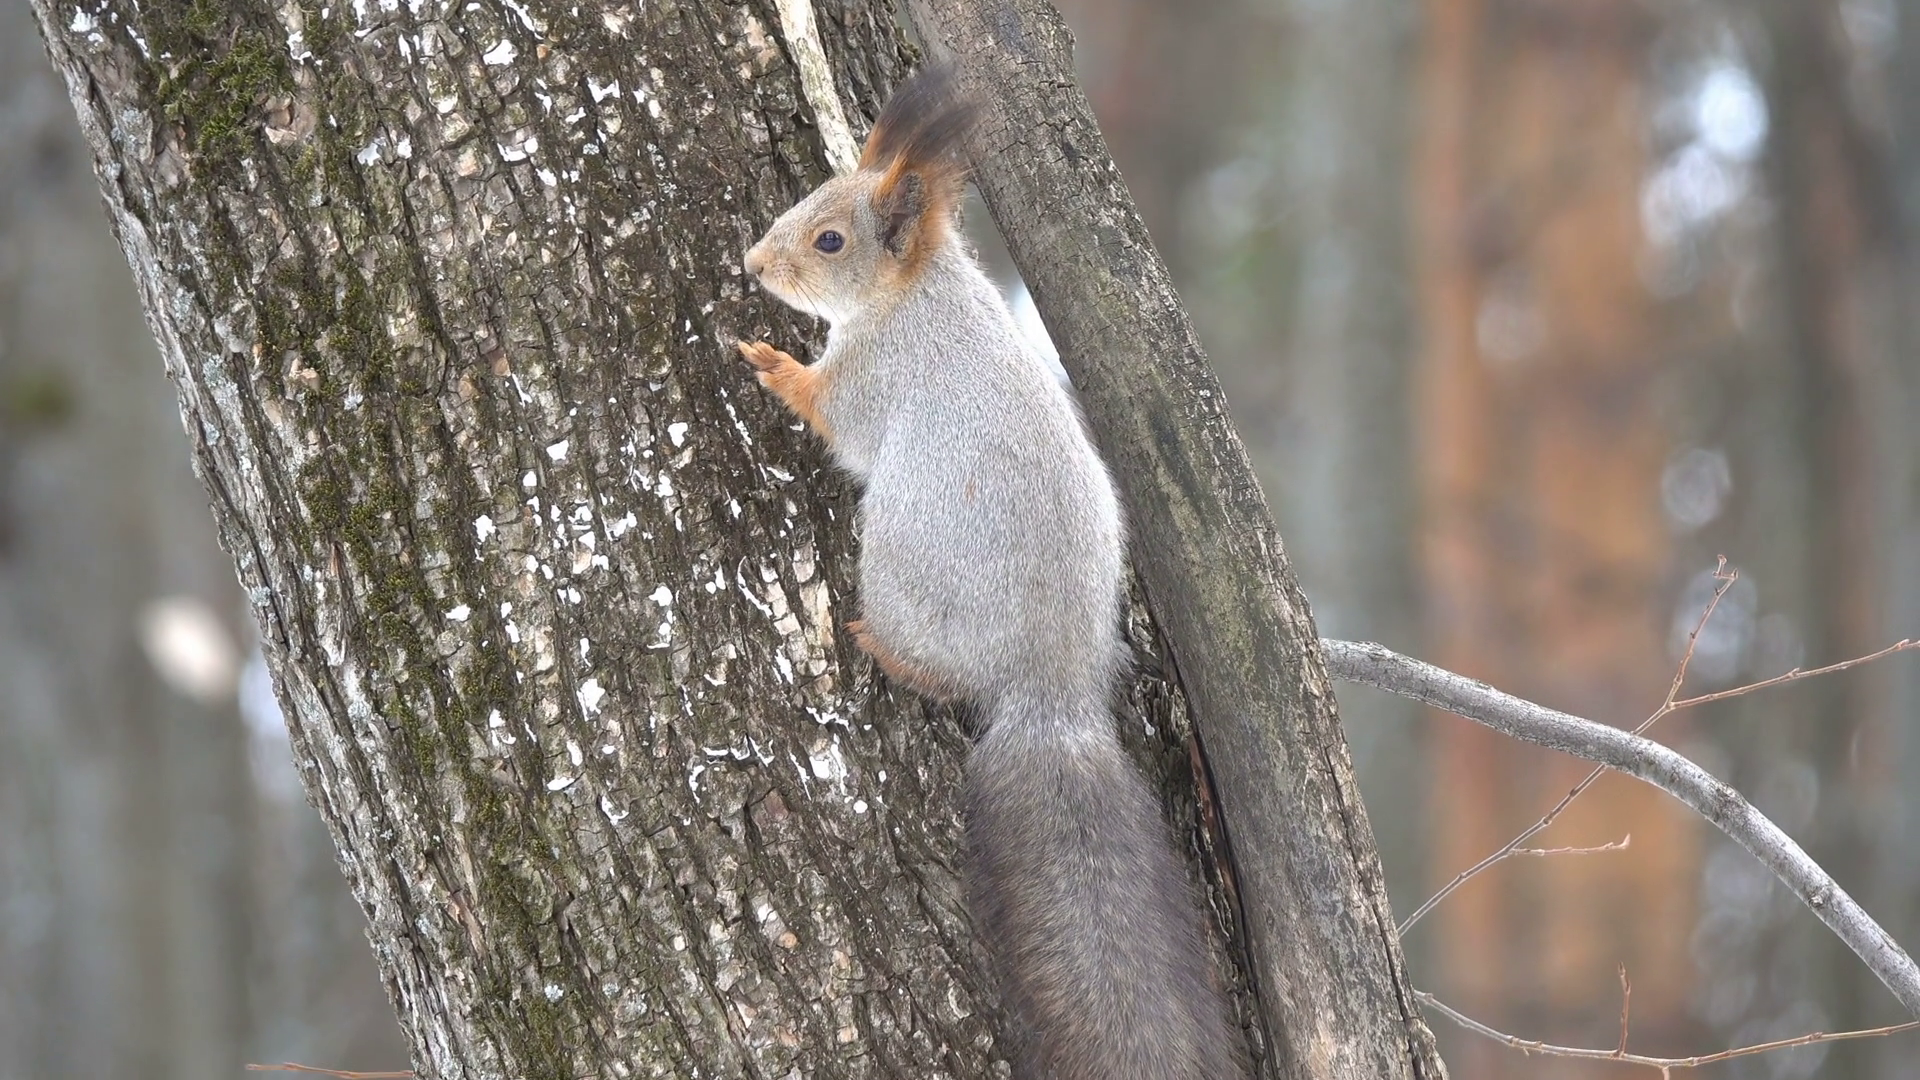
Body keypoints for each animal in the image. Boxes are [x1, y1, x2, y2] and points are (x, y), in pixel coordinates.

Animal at [735, 66, 1244, 1080]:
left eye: (829, 239)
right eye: (807, 200)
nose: (753, 264)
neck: (916, 297)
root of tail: (1051, 686)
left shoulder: (873, 381)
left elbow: (830, 413)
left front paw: (771, 362)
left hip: (901, 569)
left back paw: (879, 647)